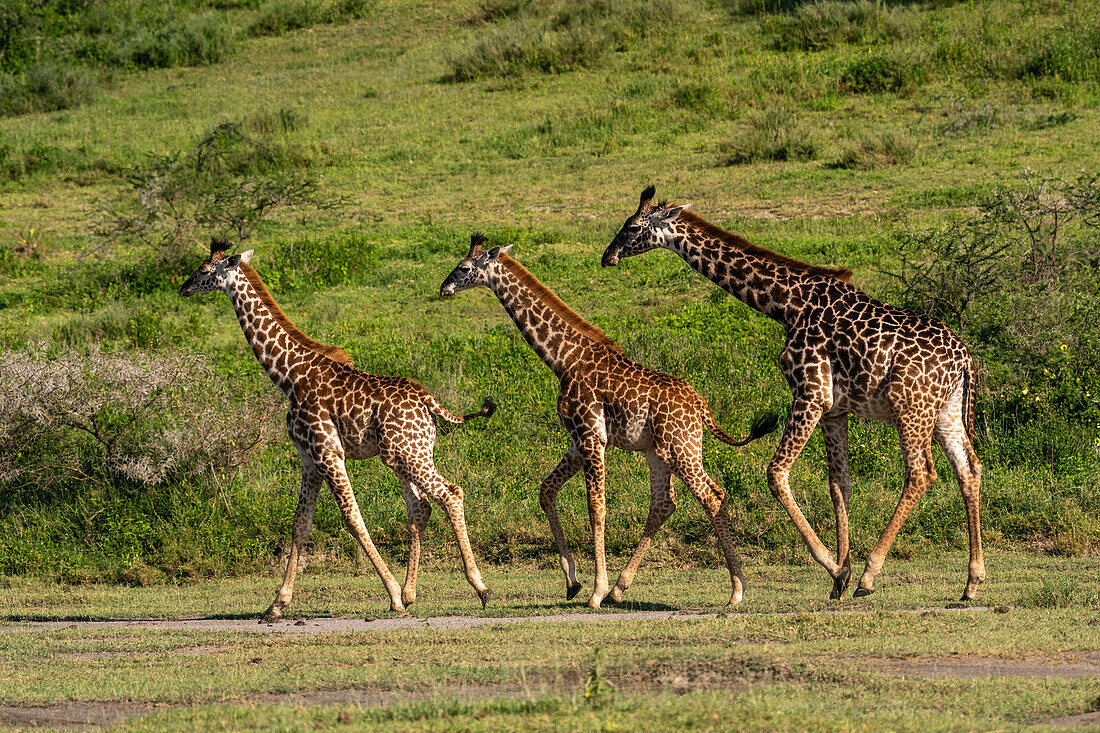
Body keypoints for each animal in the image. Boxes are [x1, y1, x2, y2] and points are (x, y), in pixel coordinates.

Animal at [181, 238, 495, 616]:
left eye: (203, 271)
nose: (183, 288)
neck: (288, 376)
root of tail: (430, 402)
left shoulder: (328, 452)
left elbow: (352, 519)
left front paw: (391, 595)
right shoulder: (308, 458)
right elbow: (300, 524)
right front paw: (277, 603)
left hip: (408, 454)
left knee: (450, 494)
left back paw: (479, 588)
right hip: (408, 454)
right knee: (421, 508)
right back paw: (412, 592)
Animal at [433, 232, 778, 603]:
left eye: (464, 267)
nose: (444, 287)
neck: (563, 359)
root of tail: (701, 407)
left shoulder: (590, 436)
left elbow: (595, 506)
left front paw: (595, 590)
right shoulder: (578, 438)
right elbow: (546, 490)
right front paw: (573, 581)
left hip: (679, 448)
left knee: (711, 497)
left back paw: (736, 591)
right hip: (659, 452)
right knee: (666, 503)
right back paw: (620, 588)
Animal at [602, 187, 990, 598]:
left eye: (633, 227)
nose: (607, 256)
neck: (786, 304)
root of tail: (965, 359)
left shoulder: (810, 392)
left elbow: (776, 473)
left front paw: (836, 569)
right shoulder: (835, 409)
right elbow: (839, 484)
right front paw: (840, 574)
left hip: (910, 408)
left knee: (920, 473)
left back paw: (871, 575)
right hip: (946, 410)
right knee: (969, 470)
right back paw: (972, 581)